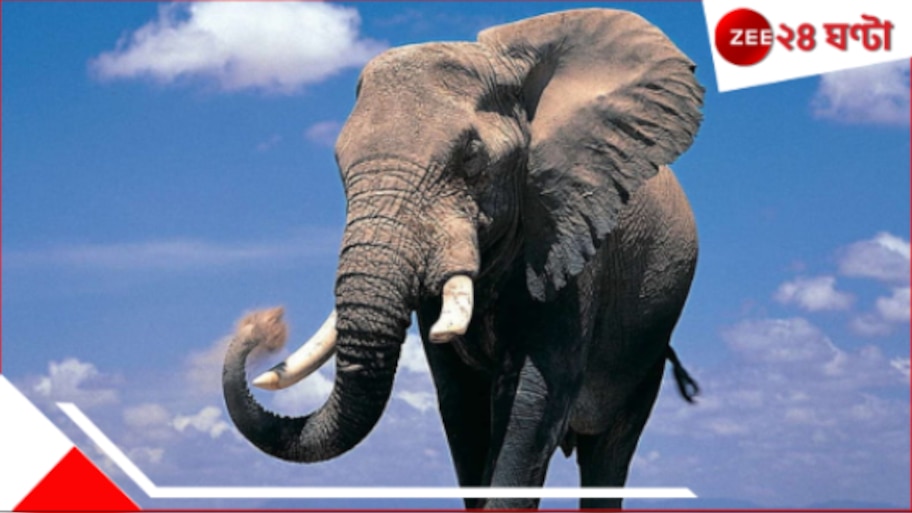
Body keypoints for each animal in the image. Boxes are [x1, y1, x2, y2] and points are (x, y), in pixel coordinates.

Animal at [222, 8, 703, 510]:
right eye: (339, 165)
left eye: (472, 158)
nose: (264, 325)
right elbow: (463, 409)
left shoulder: (569, 238)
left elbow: (531, 400)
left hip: (648, 340)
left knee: (609, 454)